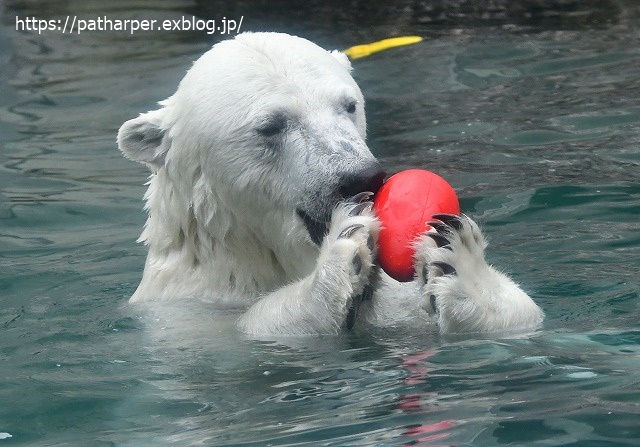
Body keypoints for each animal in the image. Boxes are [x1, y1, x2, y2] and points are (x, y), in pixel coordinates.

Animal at [117, 32, 544, 336]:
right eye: (270, 125)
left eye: (349, 105)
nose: (360, 176)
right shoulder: (184, 309)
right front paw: (339, 260)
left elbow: (526, 316)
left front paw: (458, 260)